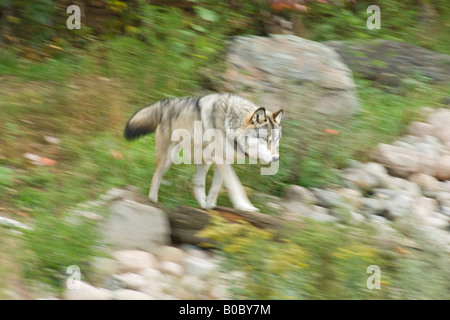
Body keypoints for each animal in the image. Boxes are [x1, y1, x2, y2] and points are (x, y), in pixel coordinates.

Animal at [125, 94, 284, 211]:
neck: (232, 124)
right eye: (266, 140)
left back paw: (202, 205)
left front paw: (210, 206)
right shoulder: (221, 160)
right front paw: (246, 207)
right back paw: (152, 201)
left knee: (196, 185)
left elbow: (215, 189)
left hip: (204, 161)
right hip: (168, 160)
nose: (276, 159)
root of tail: (166, 102)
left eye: (276, 141)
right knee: (155, 178)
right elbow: (235, 185)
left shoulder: (225, 161)